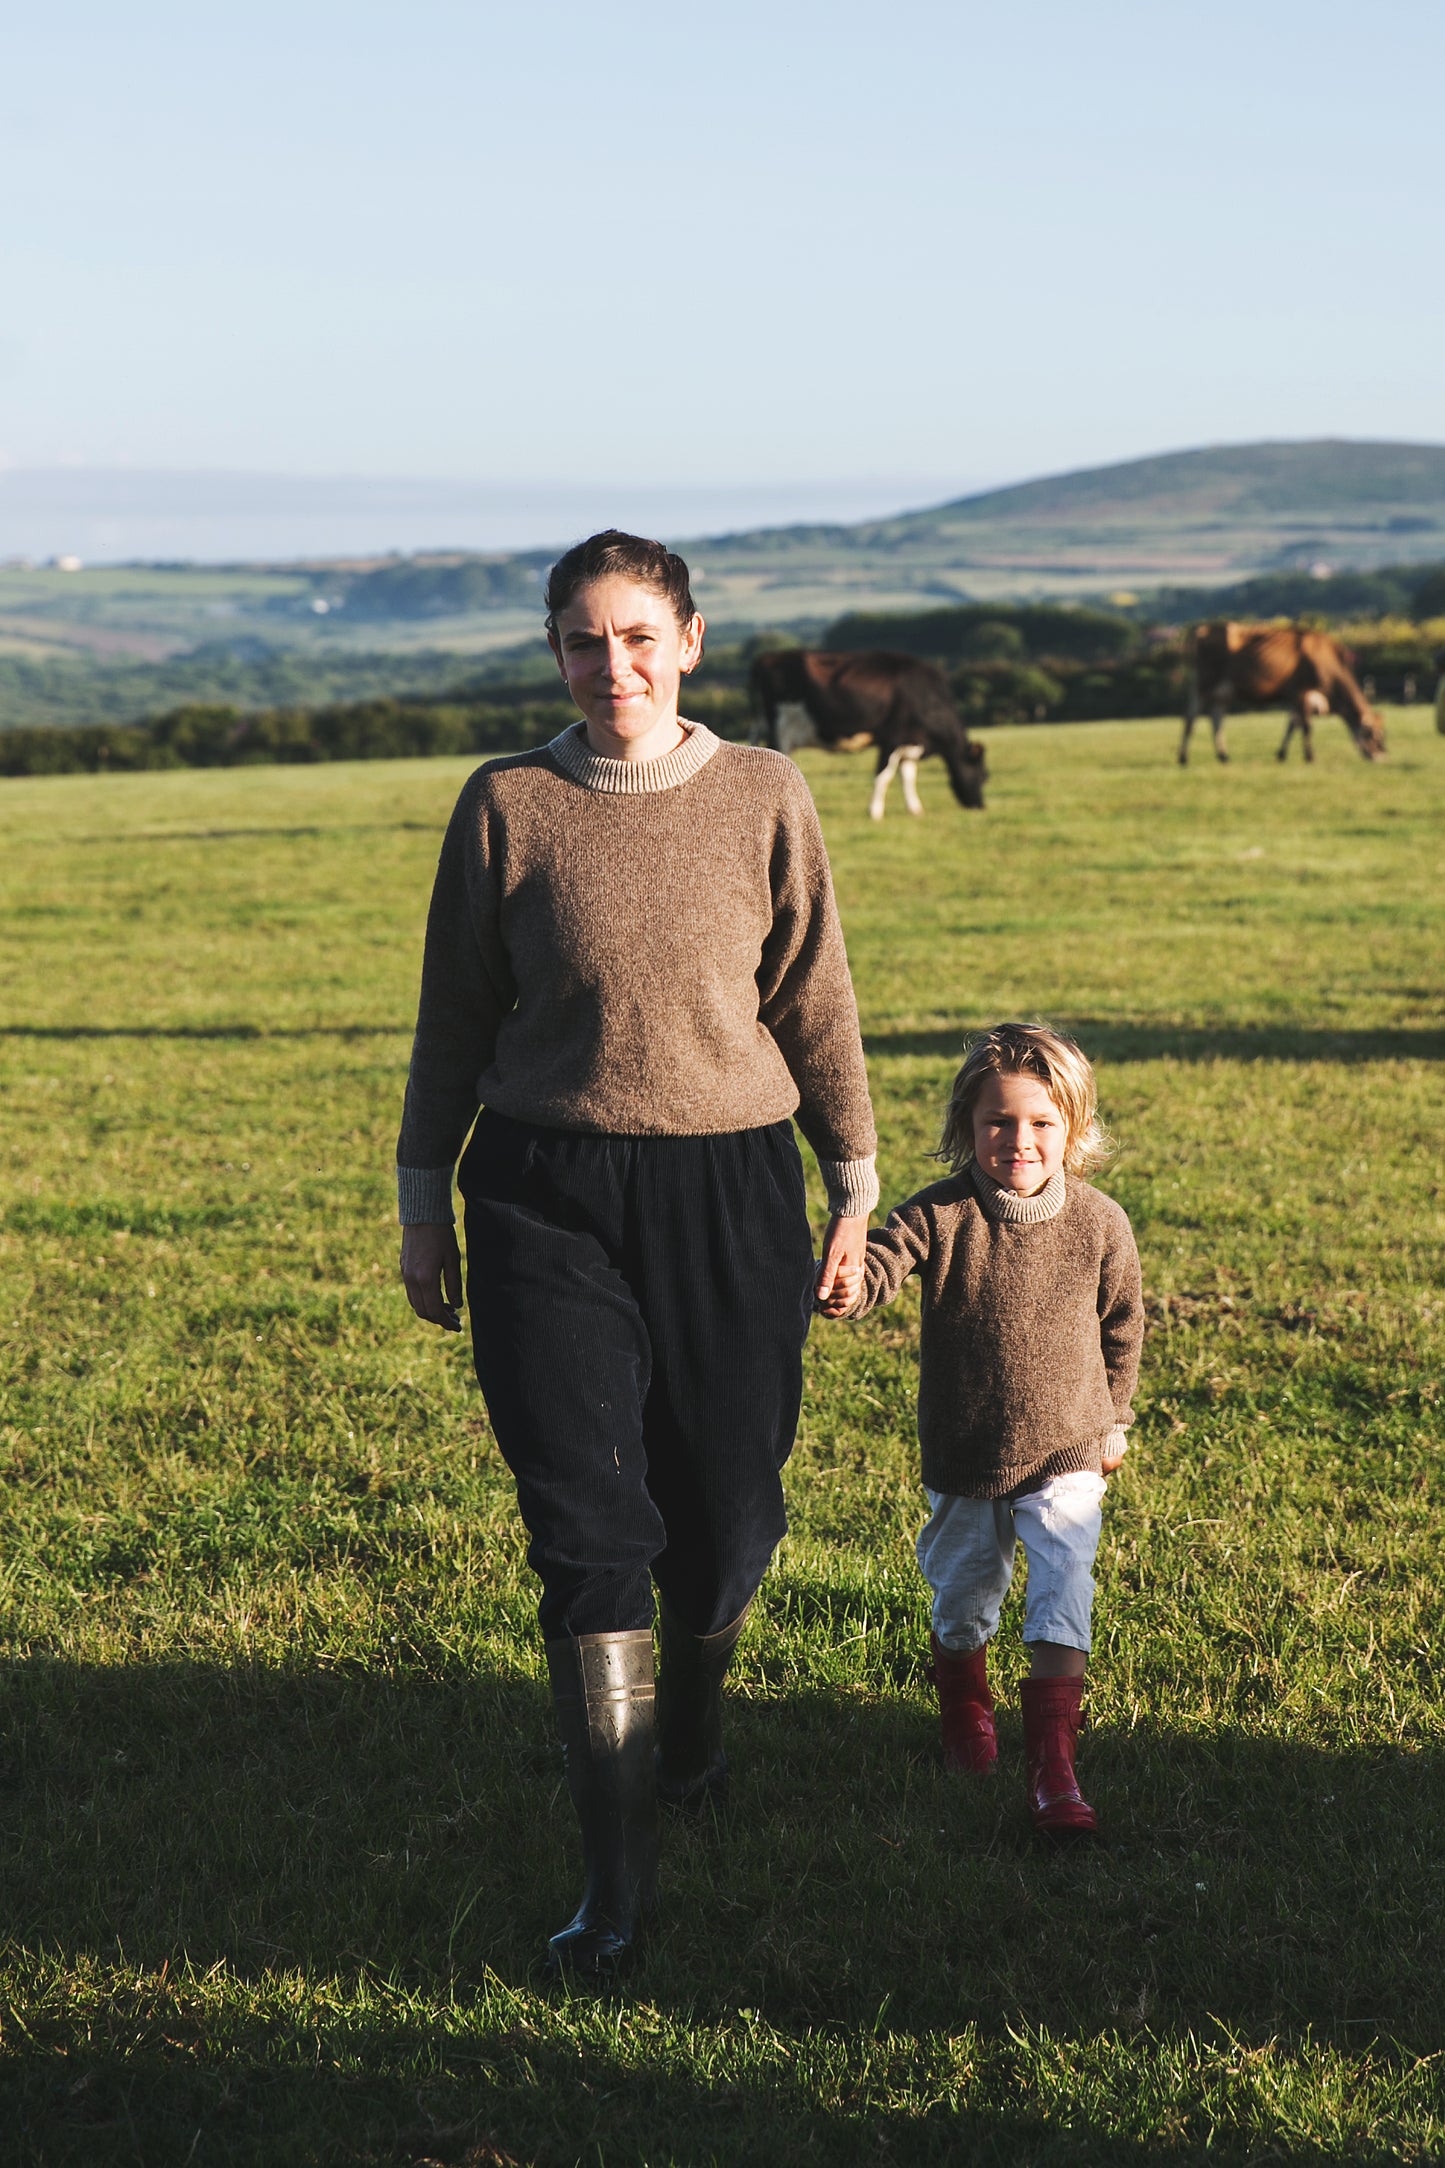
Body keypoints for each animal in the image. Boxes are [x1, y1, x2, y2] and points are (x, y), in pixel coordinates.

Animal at [753, 646, 987, 815]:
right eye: (983, 776)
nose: (980, 806)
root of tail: (766, 658)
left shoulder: (910, 742)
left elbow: (908, 776)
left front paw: (915, 809)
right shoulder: (892, 738)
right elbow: (883, 776)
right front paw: (874, 812)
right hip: (782, 730)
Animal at [1187, 624, 1386, 767]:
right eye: (1373, 734)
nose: (1383, 756)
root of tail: (1202, 630)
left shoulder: (1296, 697)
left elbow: (1292, 724)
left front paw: (1281, 754)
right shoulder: (1301, 692)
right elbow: (1306, 726)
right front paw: (1310, 757)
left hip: (1223, 692)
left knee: (1216, 718)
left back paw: (1223, 756)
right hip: (1204, 684)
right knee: (1192, 715)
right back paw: (1184, 758)